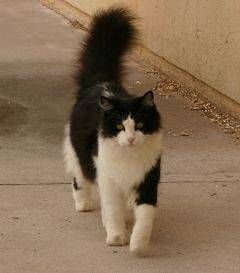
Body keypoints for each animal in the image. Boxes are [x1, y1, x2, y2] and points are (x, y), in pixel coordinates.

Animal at [62, 7, 162, 254]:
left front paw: (138, 244)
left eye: (140, 125)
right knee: (79, 177)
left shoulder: (147, 180)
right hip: (81, 156)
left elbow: (145, 217)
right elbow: (113, 210)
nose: (131, 138)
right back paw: (83, 204)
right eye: (119, 126)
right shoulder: (109, 180)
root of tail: (101, 83)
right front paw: (116, 236)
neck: (129, 157)